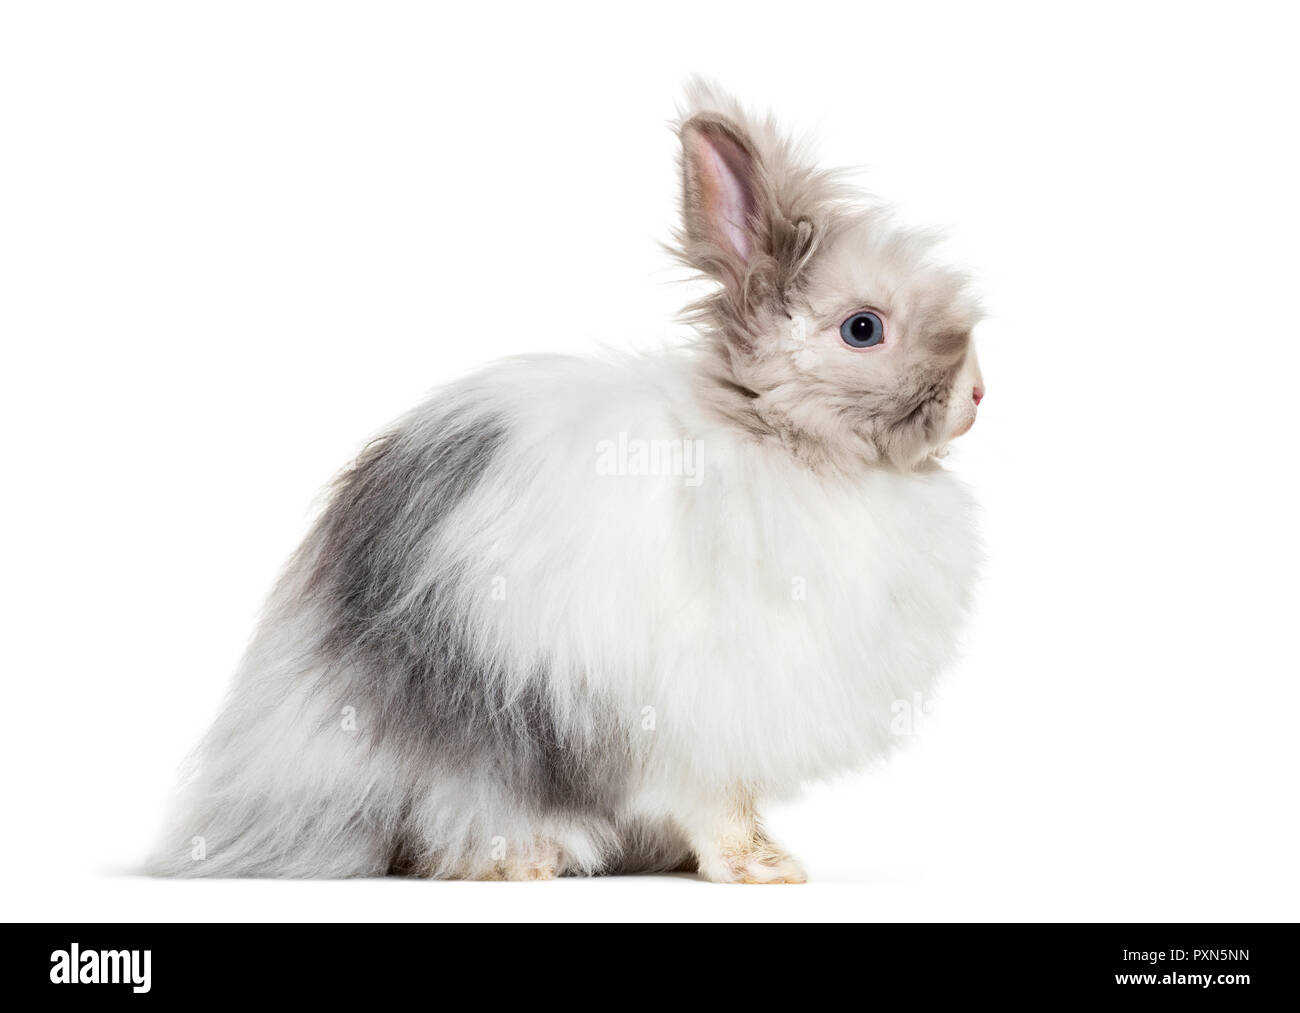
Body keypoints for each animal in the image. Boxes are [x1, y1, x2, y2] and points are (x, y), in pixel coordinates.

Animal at [148, 82, 984, 884]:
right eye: (863, 328)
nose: (976, 395)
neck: (774, 438)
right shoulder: (703, 712)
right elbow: (721, 802)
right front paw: (763, 869)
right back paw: (525, 859)